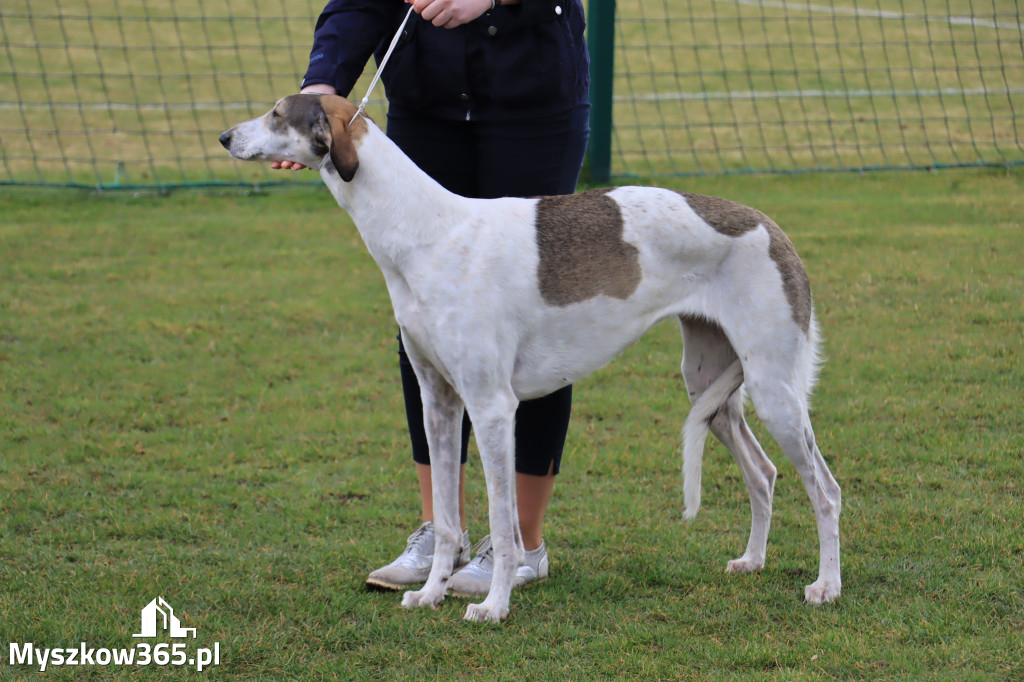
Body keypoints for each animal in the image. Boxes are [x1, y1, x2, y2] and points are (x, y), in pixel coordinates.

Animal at [220, 94, 843, 622]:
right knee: (763, 474)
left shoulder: (492, 406)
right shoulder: (439, 402)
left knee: (826, 489)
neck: (428, 233)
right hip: (710, 385)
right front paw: (430, 593)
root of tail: (772, 226)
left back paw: (826, 586)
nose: (225, 136)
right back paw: (753, 560)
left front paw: (493, 606)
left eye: (277, 113)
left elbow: (502, 520)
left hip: (773, 390)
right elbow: (447, 520)